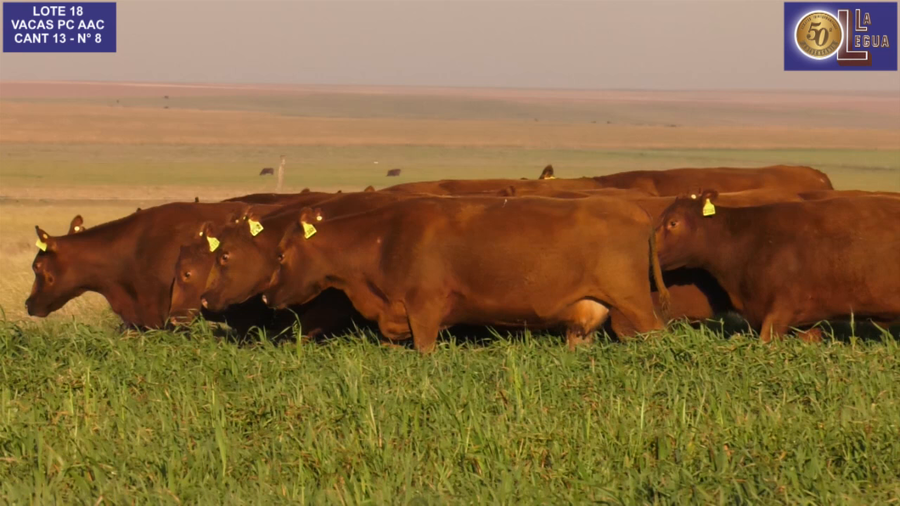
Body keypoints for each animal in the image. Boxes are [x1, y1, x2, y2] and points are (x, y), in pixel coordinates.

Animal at [261, 196, 670, 353]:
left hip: (634, 302)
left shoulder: (424, 312)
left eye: (280, 255)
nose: (265, 295)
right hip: (586, 316)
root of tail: (634, 210)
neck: (383, 240)